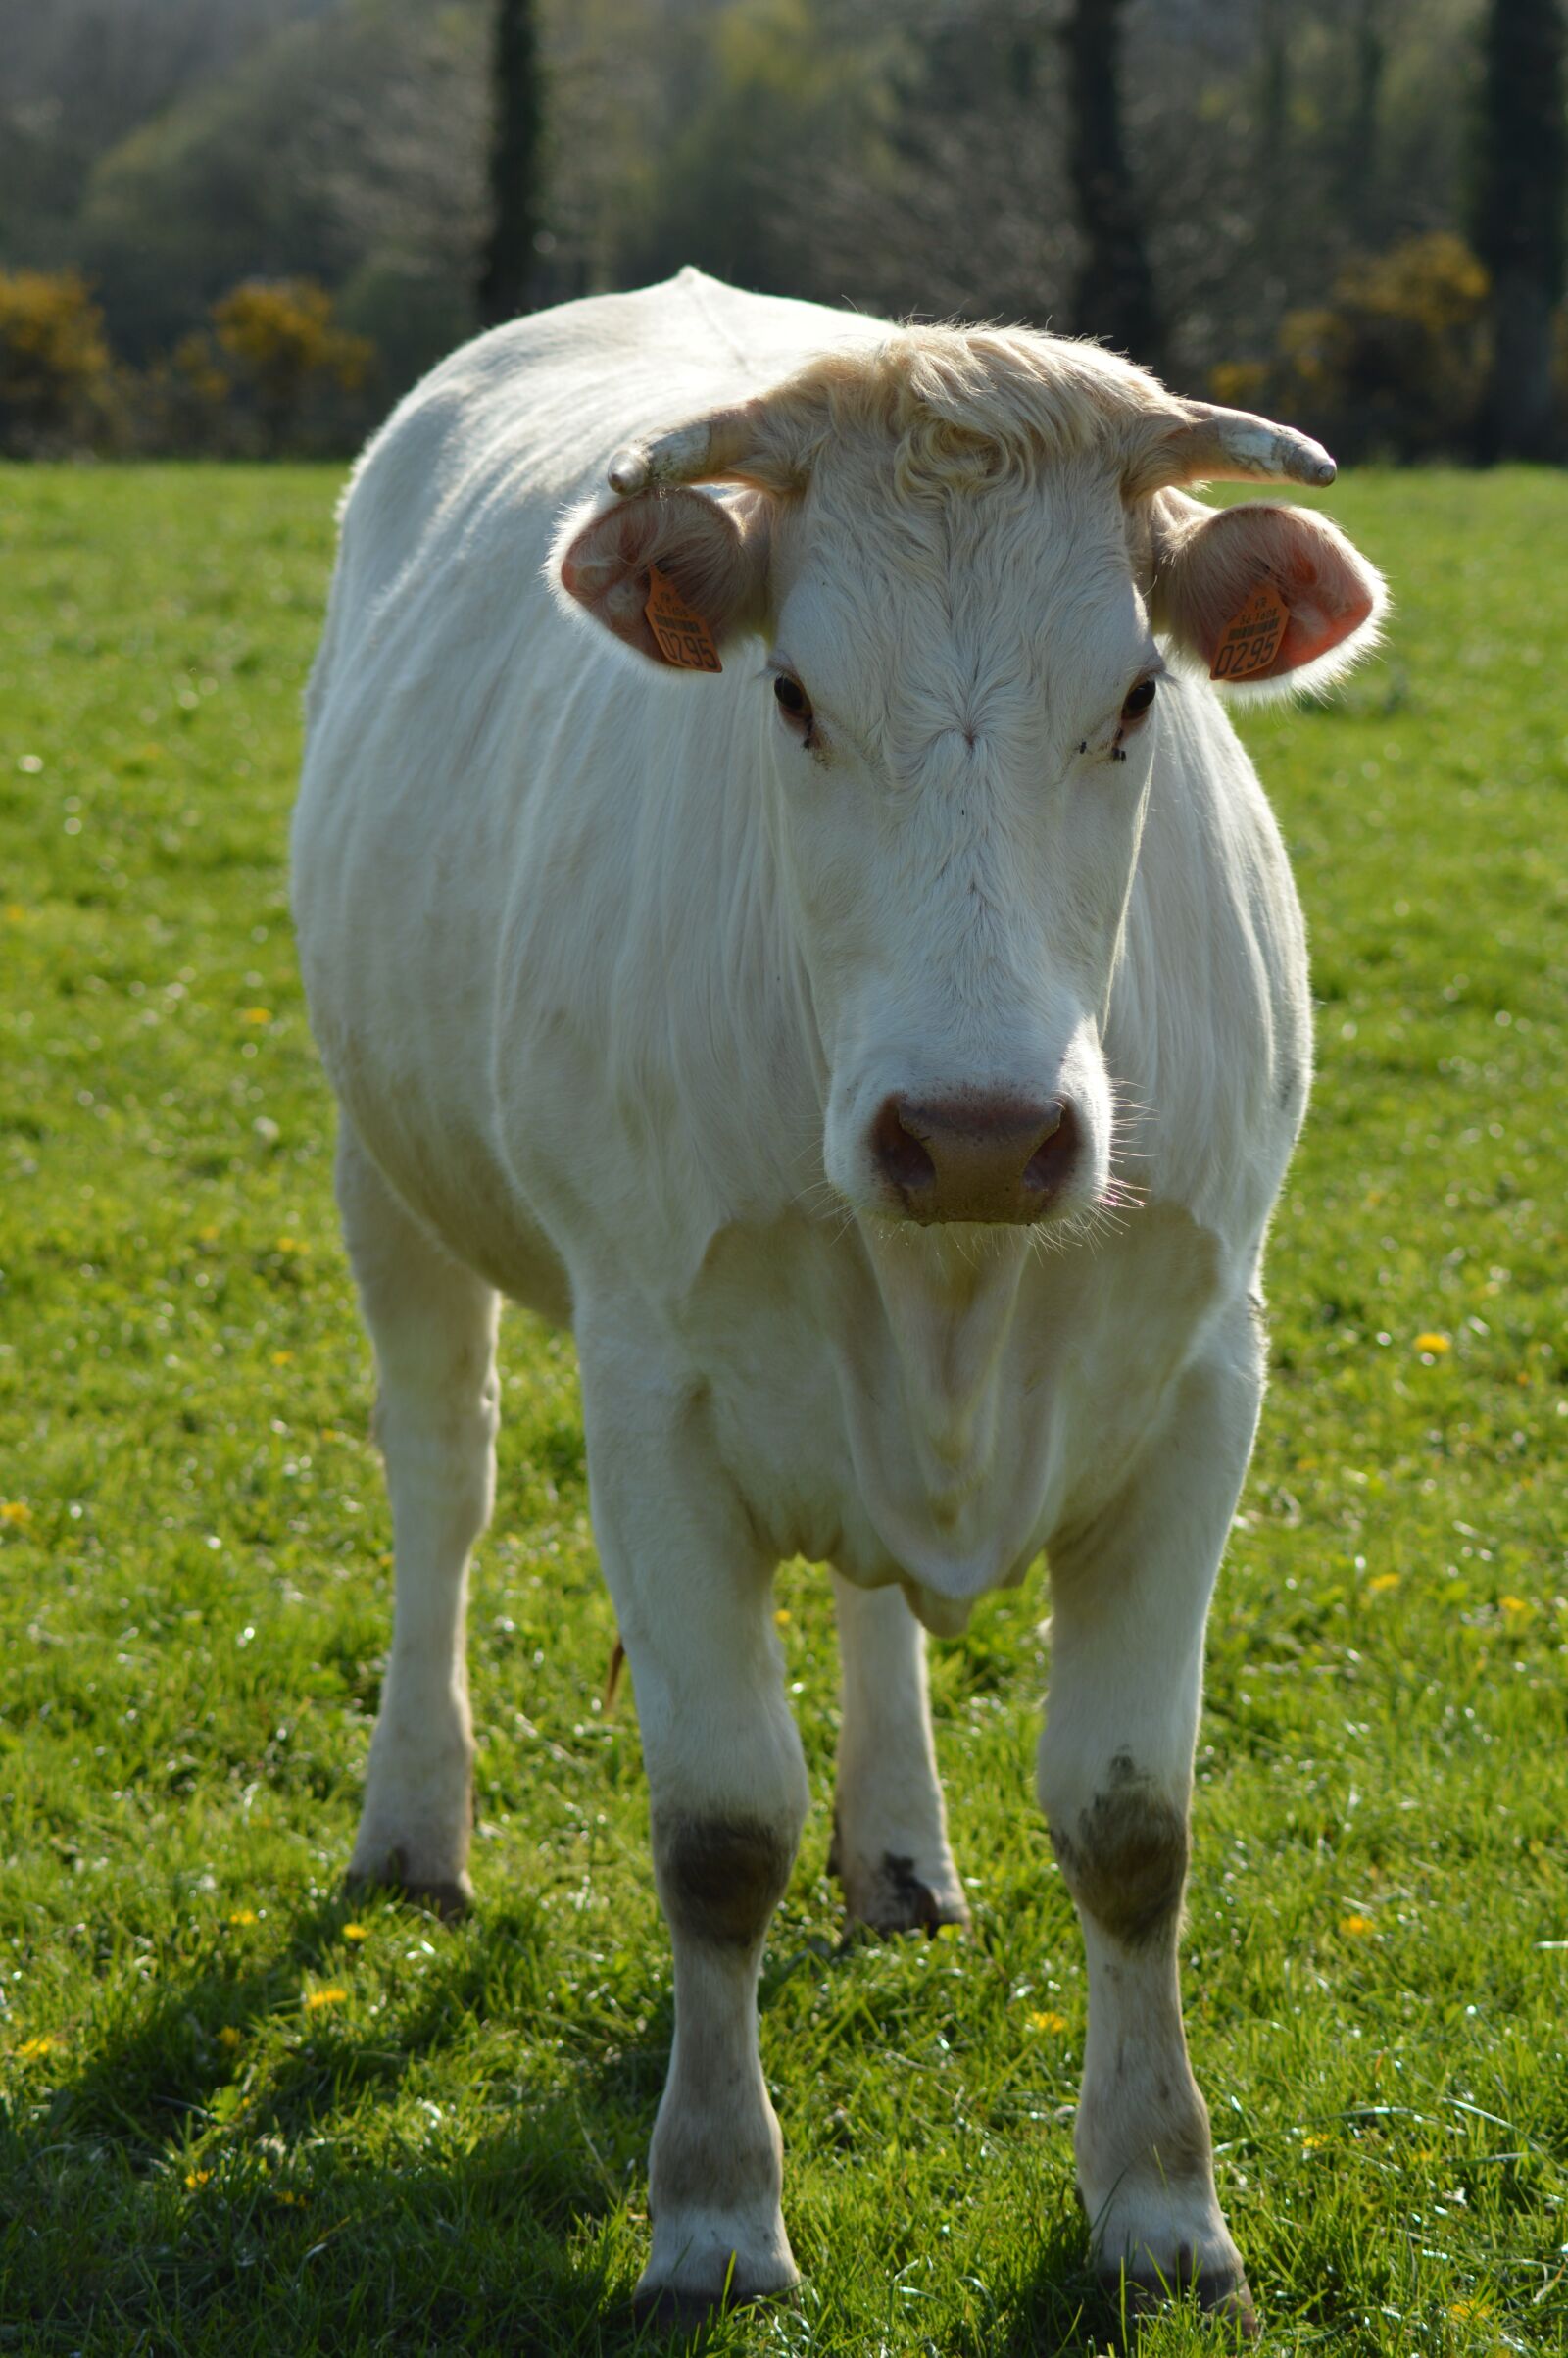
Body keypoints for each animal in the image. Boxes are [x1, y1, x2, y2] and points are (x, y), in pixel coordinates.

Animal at [291, 267, 1384, 2333]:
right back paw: (414, 1825)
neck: (959, 1285)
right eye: (791, 696)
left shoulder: (1207, 1376)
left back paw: (900, 1848)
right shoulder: (652, 1394)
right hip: (386, 1173)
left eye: (1136, 698)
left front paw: (1162, 2206)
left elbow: (1134, 1826)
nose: (975, 1131)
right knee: (439, 1483)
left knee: (870, 1599)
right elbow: (717, 1832)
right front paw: (716, 2216)